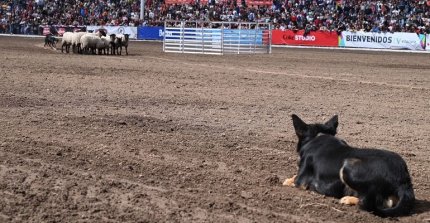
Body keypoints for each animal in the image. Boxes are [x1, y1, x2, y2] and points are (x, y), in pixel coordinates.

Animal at [284, 114, 414, 217]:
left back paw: (348, 199)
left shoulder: (301, 180)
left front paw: (288, 180)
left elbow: (294, 178)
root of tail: (403, 179)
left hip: (348, 167)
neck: (318, 136)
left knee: (371, 202)